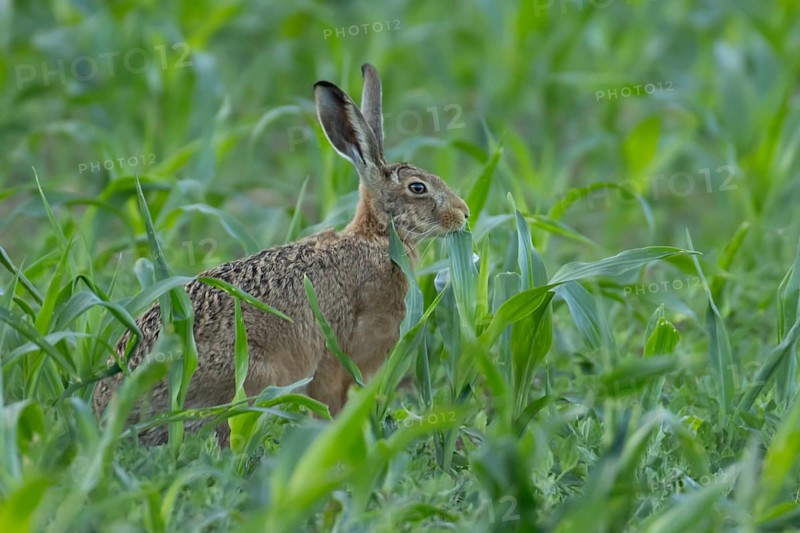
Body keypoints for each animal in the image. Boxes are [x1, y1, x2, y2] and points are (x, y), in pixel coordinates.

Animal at [92, 63, 470, 445]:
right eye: (418, 188)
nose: (464, 213)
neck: (378, 238)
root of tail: (111, 412)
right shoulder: (337, 357)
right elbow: (330, 403)